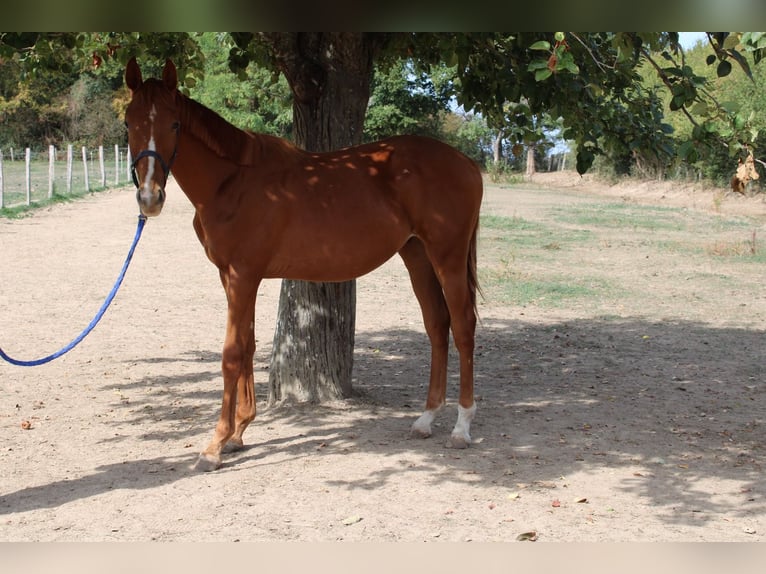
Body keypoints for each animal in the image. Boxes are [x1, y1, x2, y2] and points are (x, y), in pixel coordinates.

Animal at [124, 58, 483, 471]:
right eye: (129, 123)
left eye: (174, 124)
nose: (149, 198)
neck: (233, 181)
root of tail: (467, 163)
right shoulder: (232, 277)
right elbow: (247, 345)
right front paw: (239, 432)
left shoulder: (243, 276)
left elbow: (232, 354)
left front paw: (215, 444)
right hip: (417, 256)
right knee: (437, 326)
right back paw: (426, 419)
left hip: (448, 257)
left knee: (463, 327)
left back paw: (461, 427)